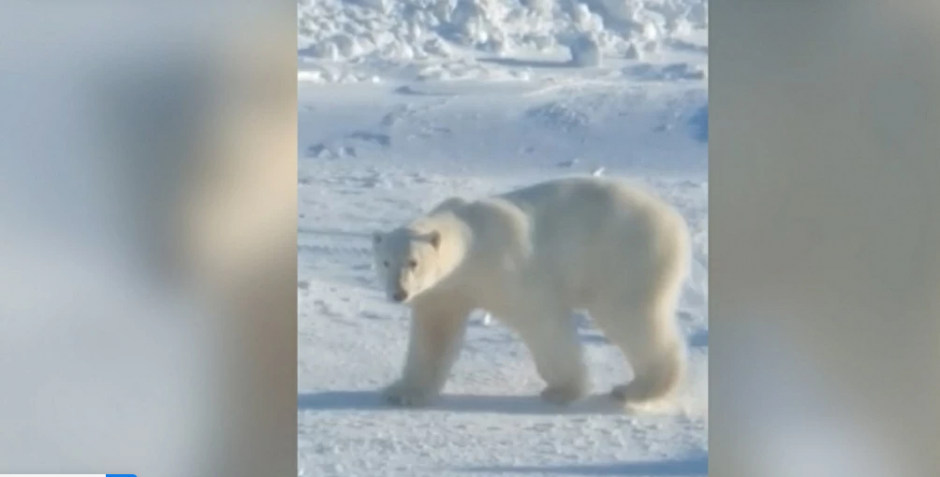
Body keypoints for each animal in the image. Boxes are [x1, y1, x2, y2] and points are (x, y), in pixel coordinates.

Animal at [370, 177, 692, 408]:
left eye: (413, 262)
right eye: (385, 262)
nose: (398, 293)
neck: (472, 242)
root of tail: (675, 221)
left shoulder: (506, 267)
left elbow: (542, 320)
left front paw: (563, 390)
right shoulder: (445, 289)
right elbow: (435, 335)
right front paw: (403, 392)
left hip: (628, 255)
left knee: (628, 316)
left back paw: (635, 389)